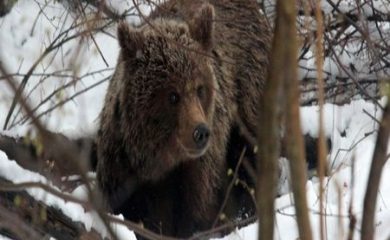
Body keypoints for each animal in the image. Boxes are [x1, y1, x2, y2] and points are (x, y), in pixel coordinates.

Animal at [96, 0, 270, 237]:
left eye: (200, 88)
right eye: (172, 95)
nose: (201, 132)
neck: (159, 160)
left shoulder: (198, 173)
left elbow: (198, 213)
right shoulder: (122, 165)